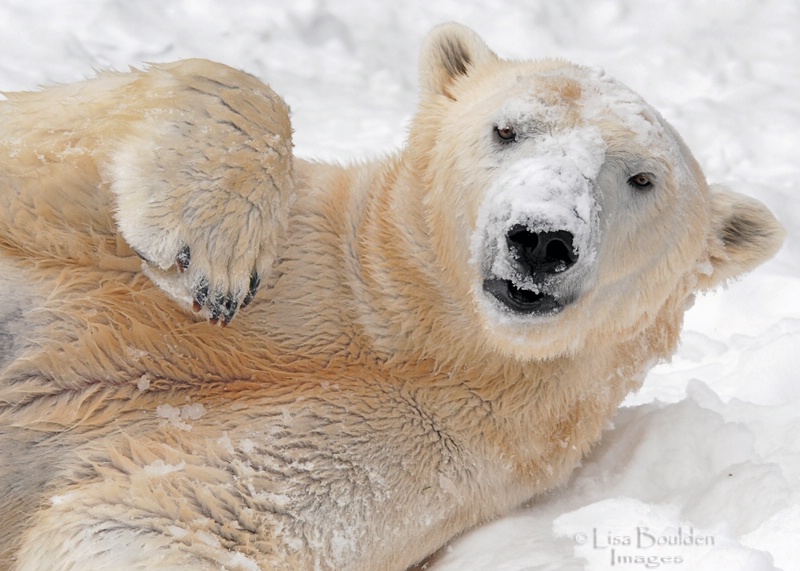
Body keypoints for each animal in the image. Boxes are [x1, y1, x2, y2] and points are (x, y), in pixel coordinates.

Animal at [0, 22, 784, 571]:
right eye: (506, 129)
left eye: (643, 178)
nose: (541, 239)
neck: (416, 328)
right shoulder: (317, 246)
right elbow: (42, 138)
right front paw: (209, 249)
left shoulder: (420, 450)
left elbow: (151, 518)